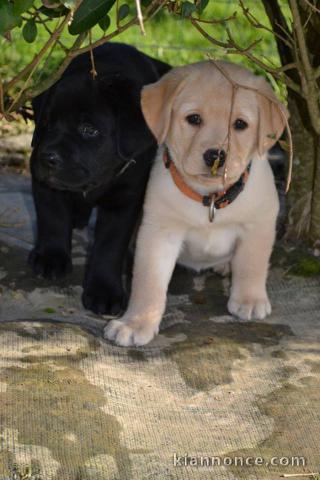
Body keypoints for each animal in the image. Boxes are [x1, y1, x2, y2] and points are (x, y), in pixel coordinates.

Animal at [29, 43, 171, 316]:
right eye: (48, 123)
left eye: (89, 130)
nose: (47, 158)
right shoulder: (44, 184)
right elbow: (52, 218)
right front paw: (51, 258)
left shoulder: (125, 199)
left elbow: (110, 245)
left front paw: (104, 291)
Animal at [104, 61, 288, 344]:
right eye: (194, 119)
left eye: (240, 124)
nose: (216, 155)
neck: (208, 198)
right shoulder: (159, 233)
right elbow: (148, 282)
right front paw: (135, 323)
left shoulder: (260, 221)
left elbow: (252, 263)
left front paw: (250, 299)